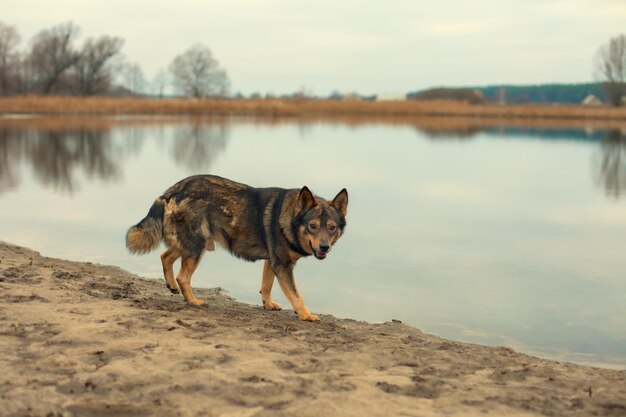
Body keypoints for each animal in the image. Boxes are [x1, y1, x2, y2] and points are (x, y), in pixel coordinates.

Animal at [125, 174, 346, 320]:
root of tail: (173, 190)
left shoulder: (272, 262)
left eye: (332, 228)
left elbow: (266, 286)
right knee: (183, 277)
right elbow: (296, 294)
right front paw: (306, 315)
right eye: (313, 226)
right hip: (197, 246)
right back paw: (193, 301)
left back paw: (171, 285)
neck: (291, 218)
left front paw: (267, 305)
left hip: (190, 243)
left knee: (165, 256)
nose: (324, 247)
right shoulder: (282, 265)